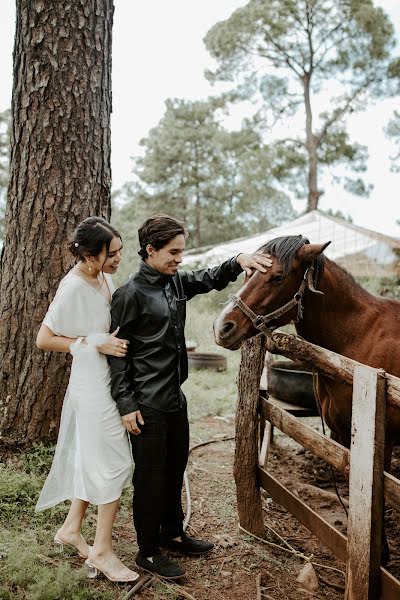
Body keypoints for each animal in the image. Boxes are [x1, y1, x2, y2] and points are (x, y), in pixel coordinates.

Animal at [214, 232, 400, 472]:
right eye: (248, 271)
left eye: (278, 277)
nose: (222, 327)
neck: (359, 338)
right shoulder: (343, 439)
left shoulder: (383, 449)